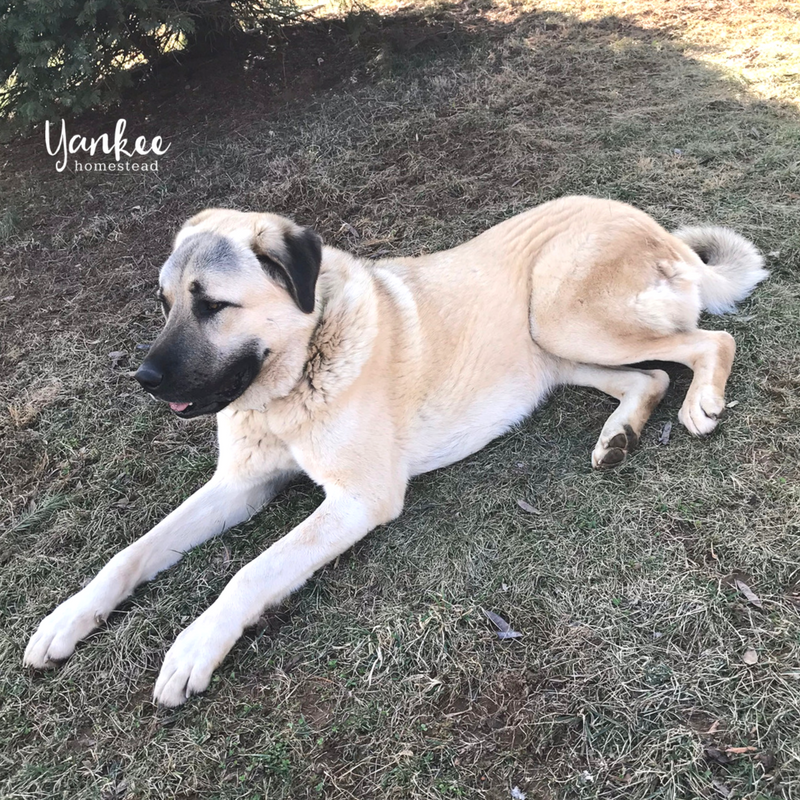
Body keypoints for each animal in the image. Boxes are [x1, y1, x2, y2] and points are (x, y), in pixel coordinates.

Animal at [23, 195, 768, 708]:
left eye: (213, 306)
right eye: (166, 302)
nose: (144, 379)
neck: (299, 370)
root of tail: (656, 228)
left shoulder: (360, 498)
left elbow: (253, 572)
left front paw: (194, 647)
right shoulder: (240, 484)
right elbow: (135, 551)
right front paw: (66, 619)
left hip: (564, 317)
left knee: (711, 342)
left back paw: (700, 403)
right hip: (555, 349)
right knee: (650, 378)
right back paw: (619, 435)